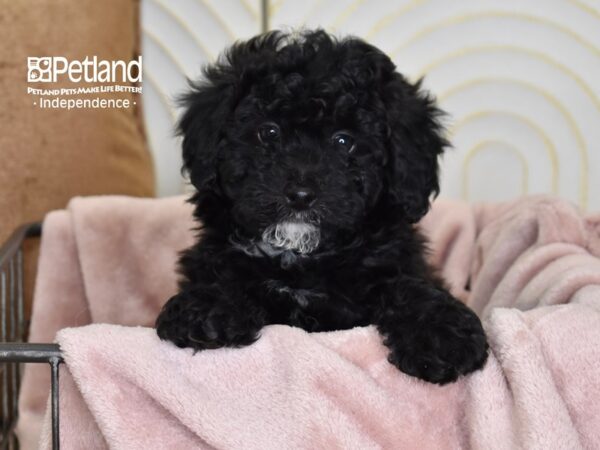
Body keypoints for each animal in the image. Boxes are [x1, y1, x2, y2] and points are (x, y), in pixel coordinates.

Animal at [156, 29, 488, 384]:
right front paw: (206, 309)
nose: (301, 194)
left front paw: (444, 335)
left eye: (344, 141)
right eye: (268, 132)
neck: (300, 258)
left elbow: (408, 286)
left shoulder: (394, 261)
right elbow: (225, 276)